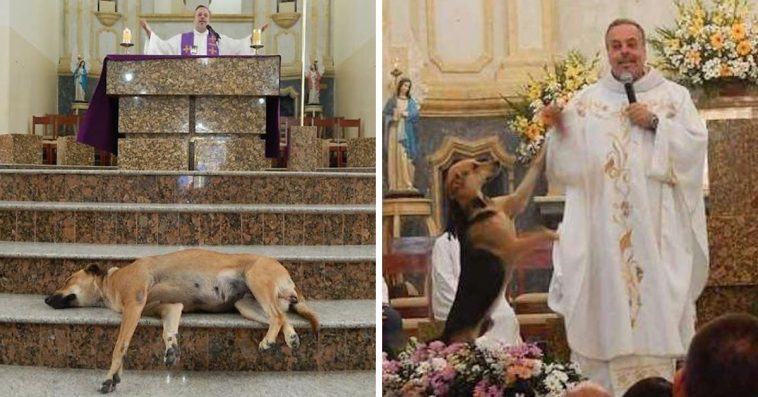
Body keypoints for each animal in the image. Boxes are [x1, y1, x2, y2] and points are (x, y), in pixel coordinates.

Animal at [45, 249, 318, 392]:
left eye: (67, 280)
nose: (46, 299)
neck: (111, 283)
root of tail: (288, 278)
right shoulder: (169, 307)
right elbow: (168, 331)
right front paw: (171, 348)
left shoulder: (134, 305)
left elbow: (120, 346)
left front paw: (110, 376)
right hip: (246, 305)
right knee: (282, 317)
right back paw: (291, 338)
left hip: (256, 278)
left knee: (277, 316)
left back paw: (269, 341)